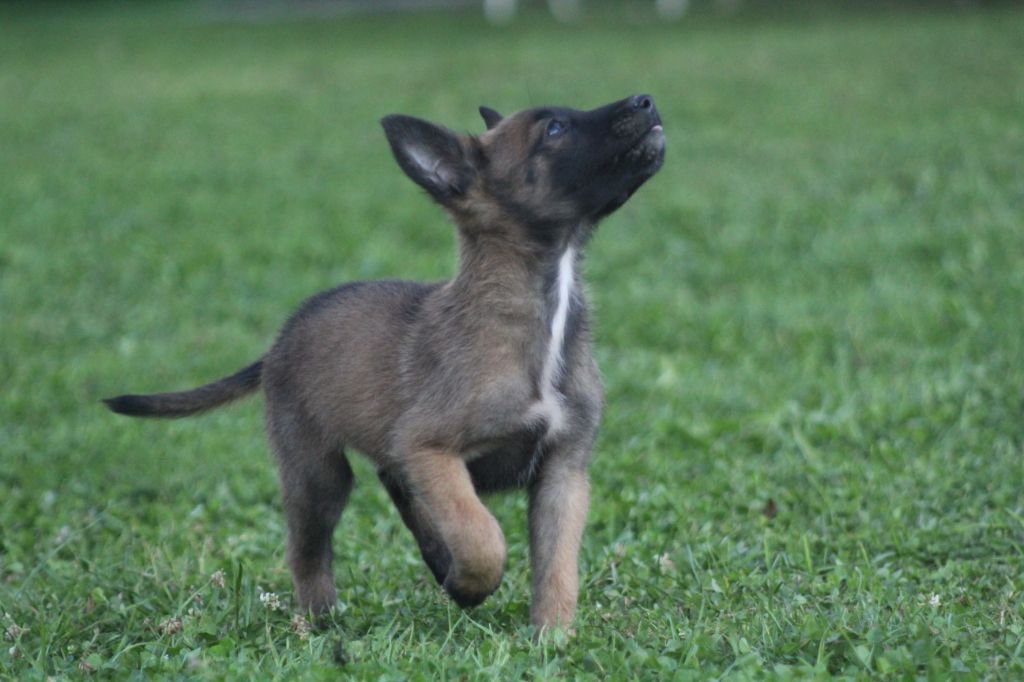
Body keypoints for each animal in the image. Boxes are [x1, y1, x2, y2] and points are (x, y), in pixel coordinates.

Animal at [103, 94, 663, 626]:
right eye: (554, 129)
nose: (646, 101)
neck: (542, 316)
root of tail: (281, 339)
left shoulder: (564, 472)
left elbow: (557, 567)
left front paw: (552, 638)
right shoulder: (429, 448)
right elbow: (482, 534)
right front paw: (474, 585)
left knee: (397, 489)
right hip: (317, 475)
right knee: (309, 549)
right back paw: (324, 620)